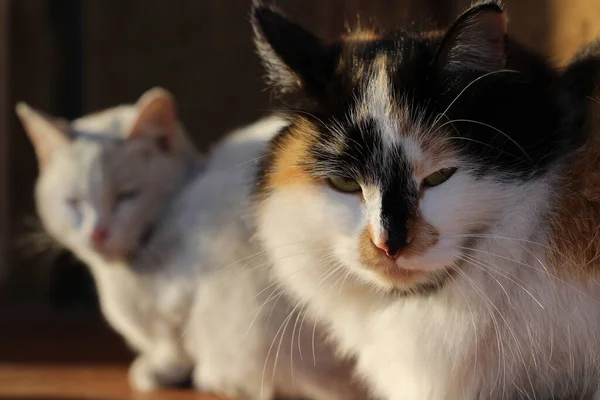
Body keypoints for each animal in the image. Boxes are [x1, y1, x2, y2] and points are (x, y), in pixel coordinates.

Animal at [16, 88, 366, 400]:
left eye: (127, 196)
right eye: (74, 202)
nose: (98, 232)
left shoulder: (187, 297)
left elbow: (175, 344)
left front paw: (160, 371)